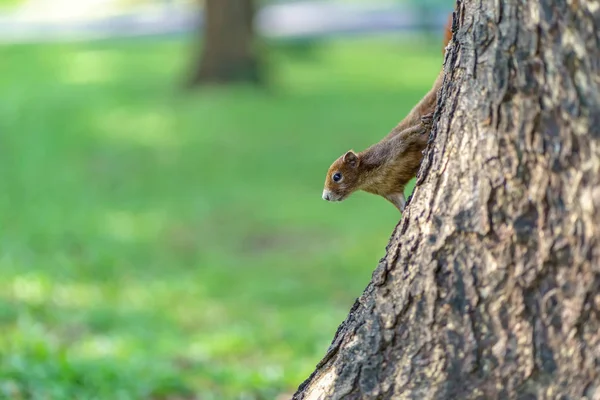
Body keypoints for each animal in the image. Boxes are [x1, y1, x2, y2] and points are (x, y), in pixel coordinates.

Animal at [322, 18, 452, 212]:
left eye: (337, 176)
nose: (325, 197)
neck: (369, 178)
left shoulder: (389, 150)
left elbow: (407, 135)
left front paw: (424, 124)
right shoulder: (390, 191)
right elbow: (400, 203)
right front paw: (404, 211)